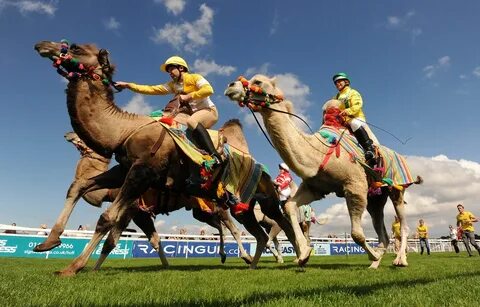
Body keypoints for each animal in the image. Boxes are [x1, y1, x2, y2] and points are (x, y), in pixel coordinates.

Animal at [34, 39, 296, 276]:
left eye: (76, 47)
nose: (42, 45)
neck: (124, 130)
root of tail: (261, 169)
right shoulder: (125, 170)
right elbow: (78, 187)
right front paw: (48, 242)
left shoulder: (142, 175)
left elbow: (107, 220)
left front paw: (74, 267)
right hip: (238, 205)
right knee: (259, 232)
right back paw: (252, 262)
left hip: (261, 200)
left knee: (278, 224)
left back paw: (290, 259)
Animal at [223, 74, 422, 270]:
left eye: (258, 81)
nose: (231, 85)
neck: (318, 152)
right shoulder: (315, 187)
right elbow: (290, 207)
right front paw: (304, 254)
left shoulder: (354, 185)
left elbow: (356, 234)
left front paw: (373, 254)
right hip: (376, 196)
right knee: (382, 228)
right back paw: (375, 264)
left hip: (396, 187)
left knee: (403, 224)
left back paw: (399, 260)